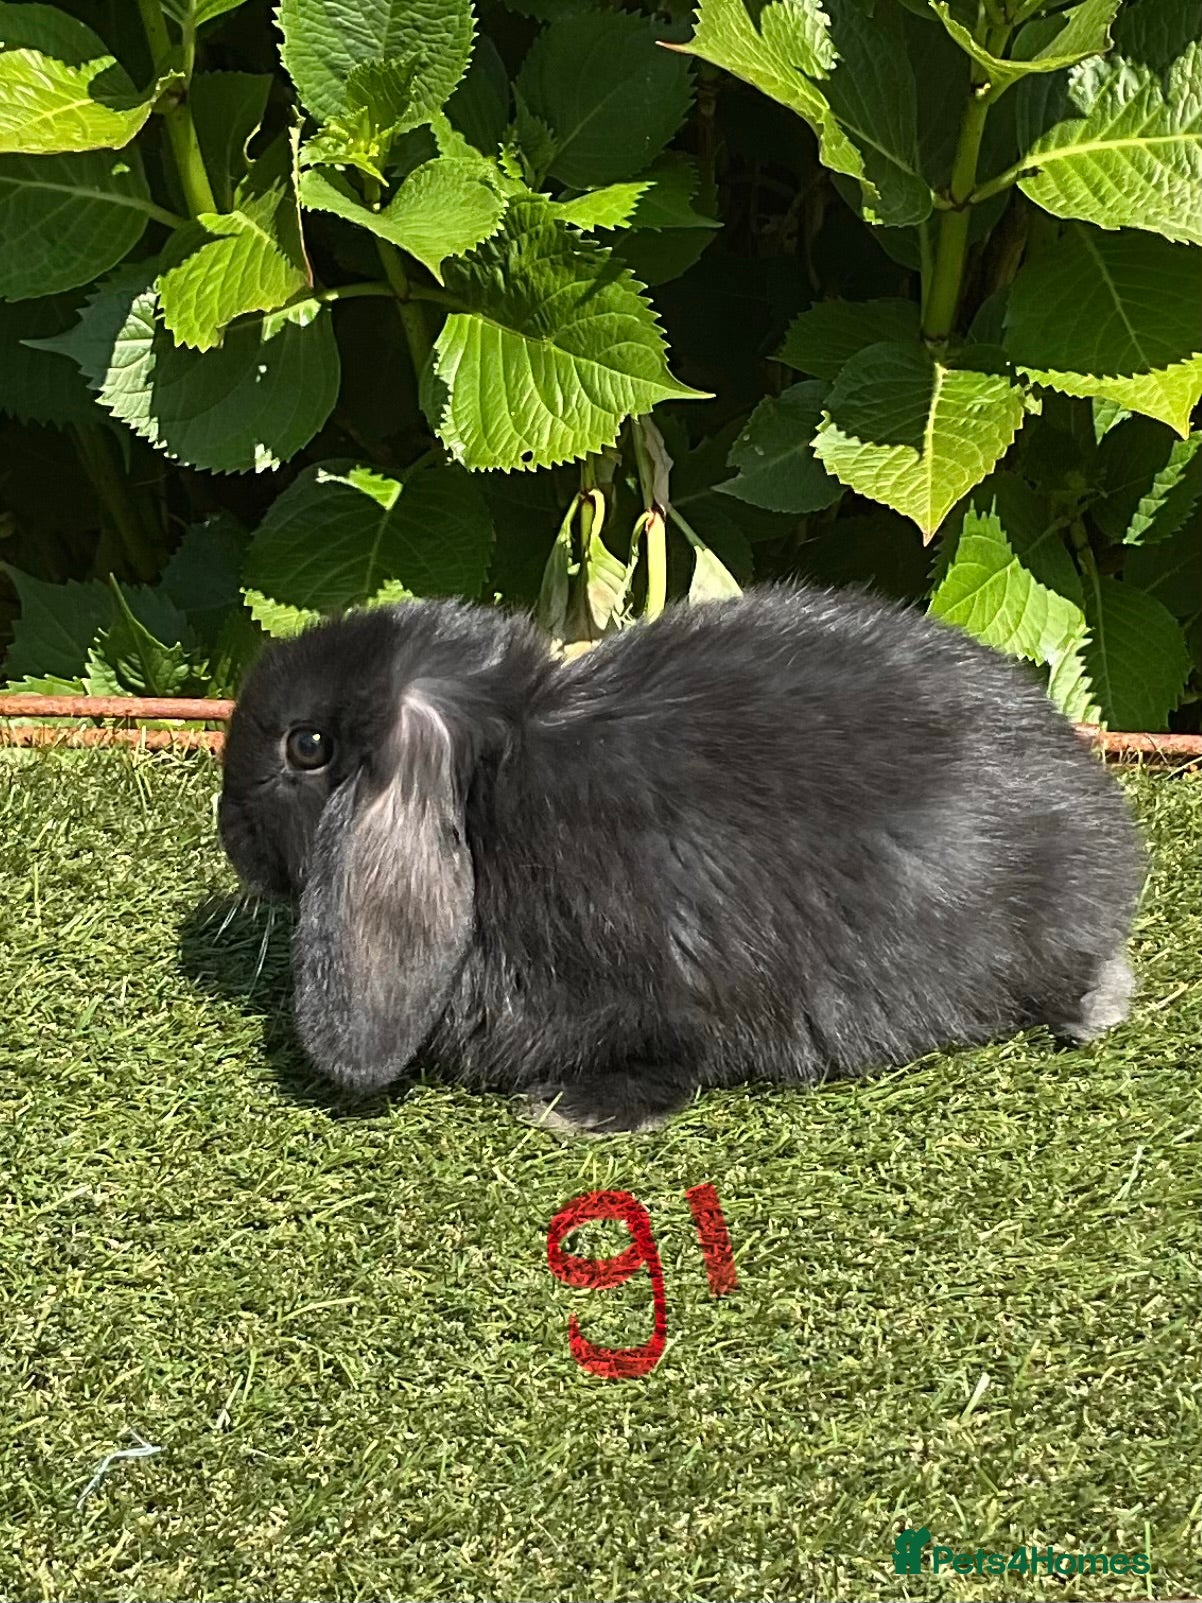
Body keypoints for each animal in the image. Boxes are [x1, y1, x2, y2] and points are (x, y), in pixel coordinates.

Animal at [217, 583, 1146, 1134]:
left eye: (307, 746)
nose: (232, 834)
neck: (495, 788)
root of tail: (1109, 840)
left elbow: (676, 1057)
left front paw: (568, 1111)